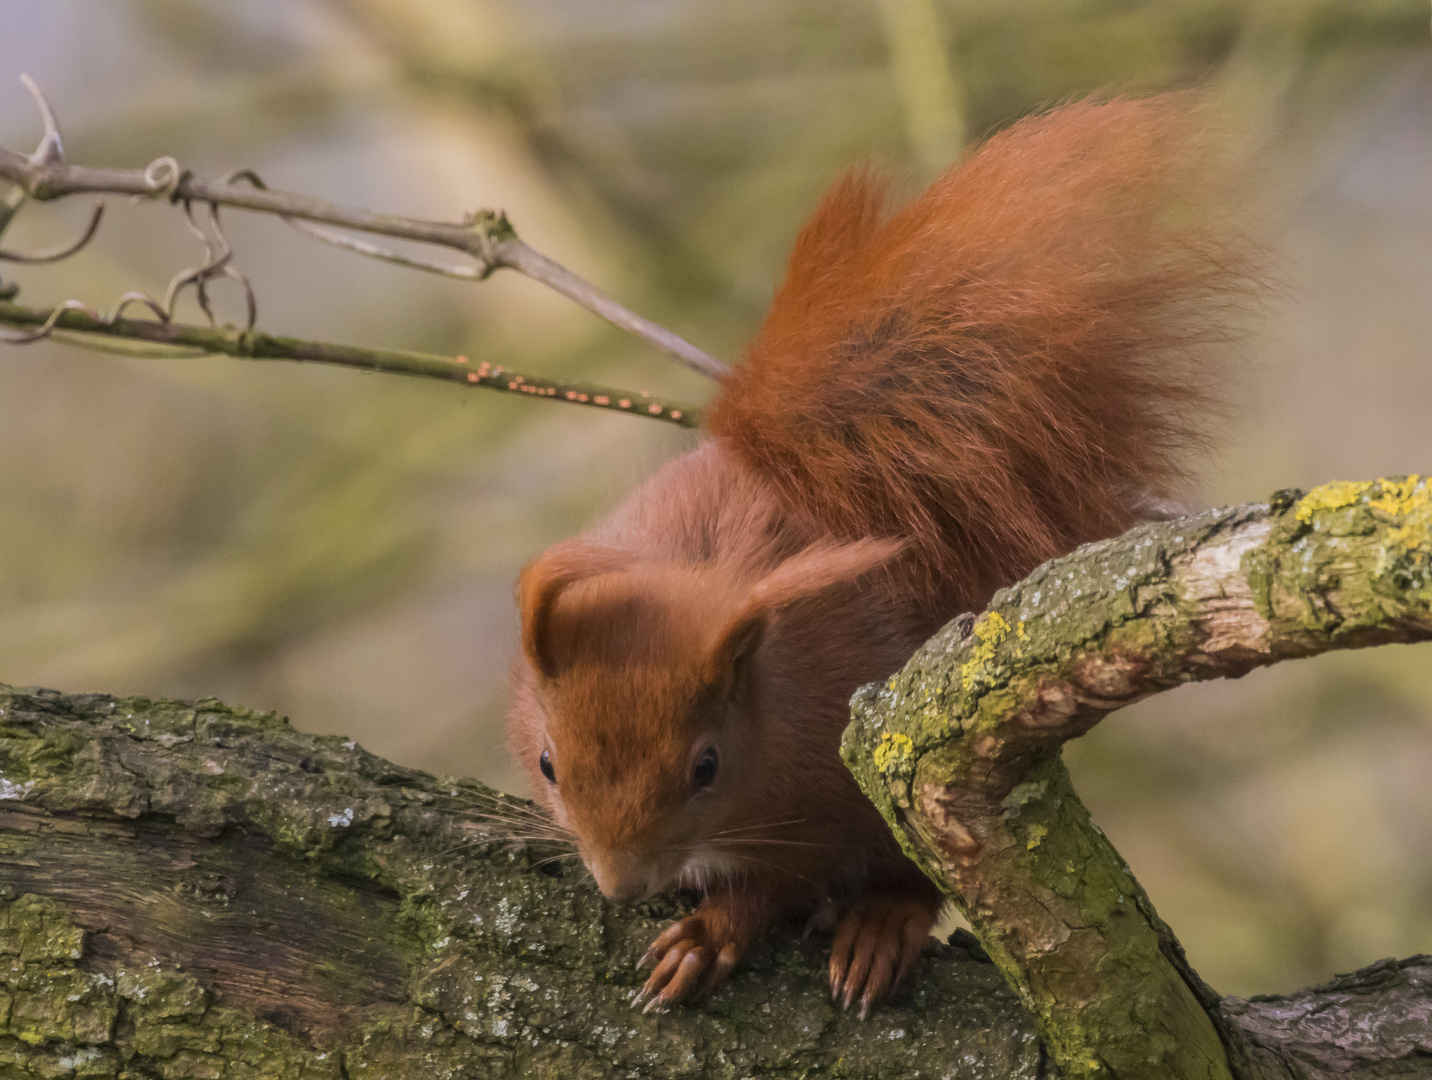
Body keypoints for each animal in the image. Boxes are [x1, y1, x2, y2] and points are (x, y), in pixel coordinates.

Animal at [509, 96, 1260, 1014]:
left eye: (706, 767)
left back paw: (877, 930)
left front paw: (708, 935)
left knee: (910, 882)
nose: (623, 886)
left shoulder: (827, 791)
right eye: (547, 762)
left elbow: (779, 883)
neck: (771, 695)